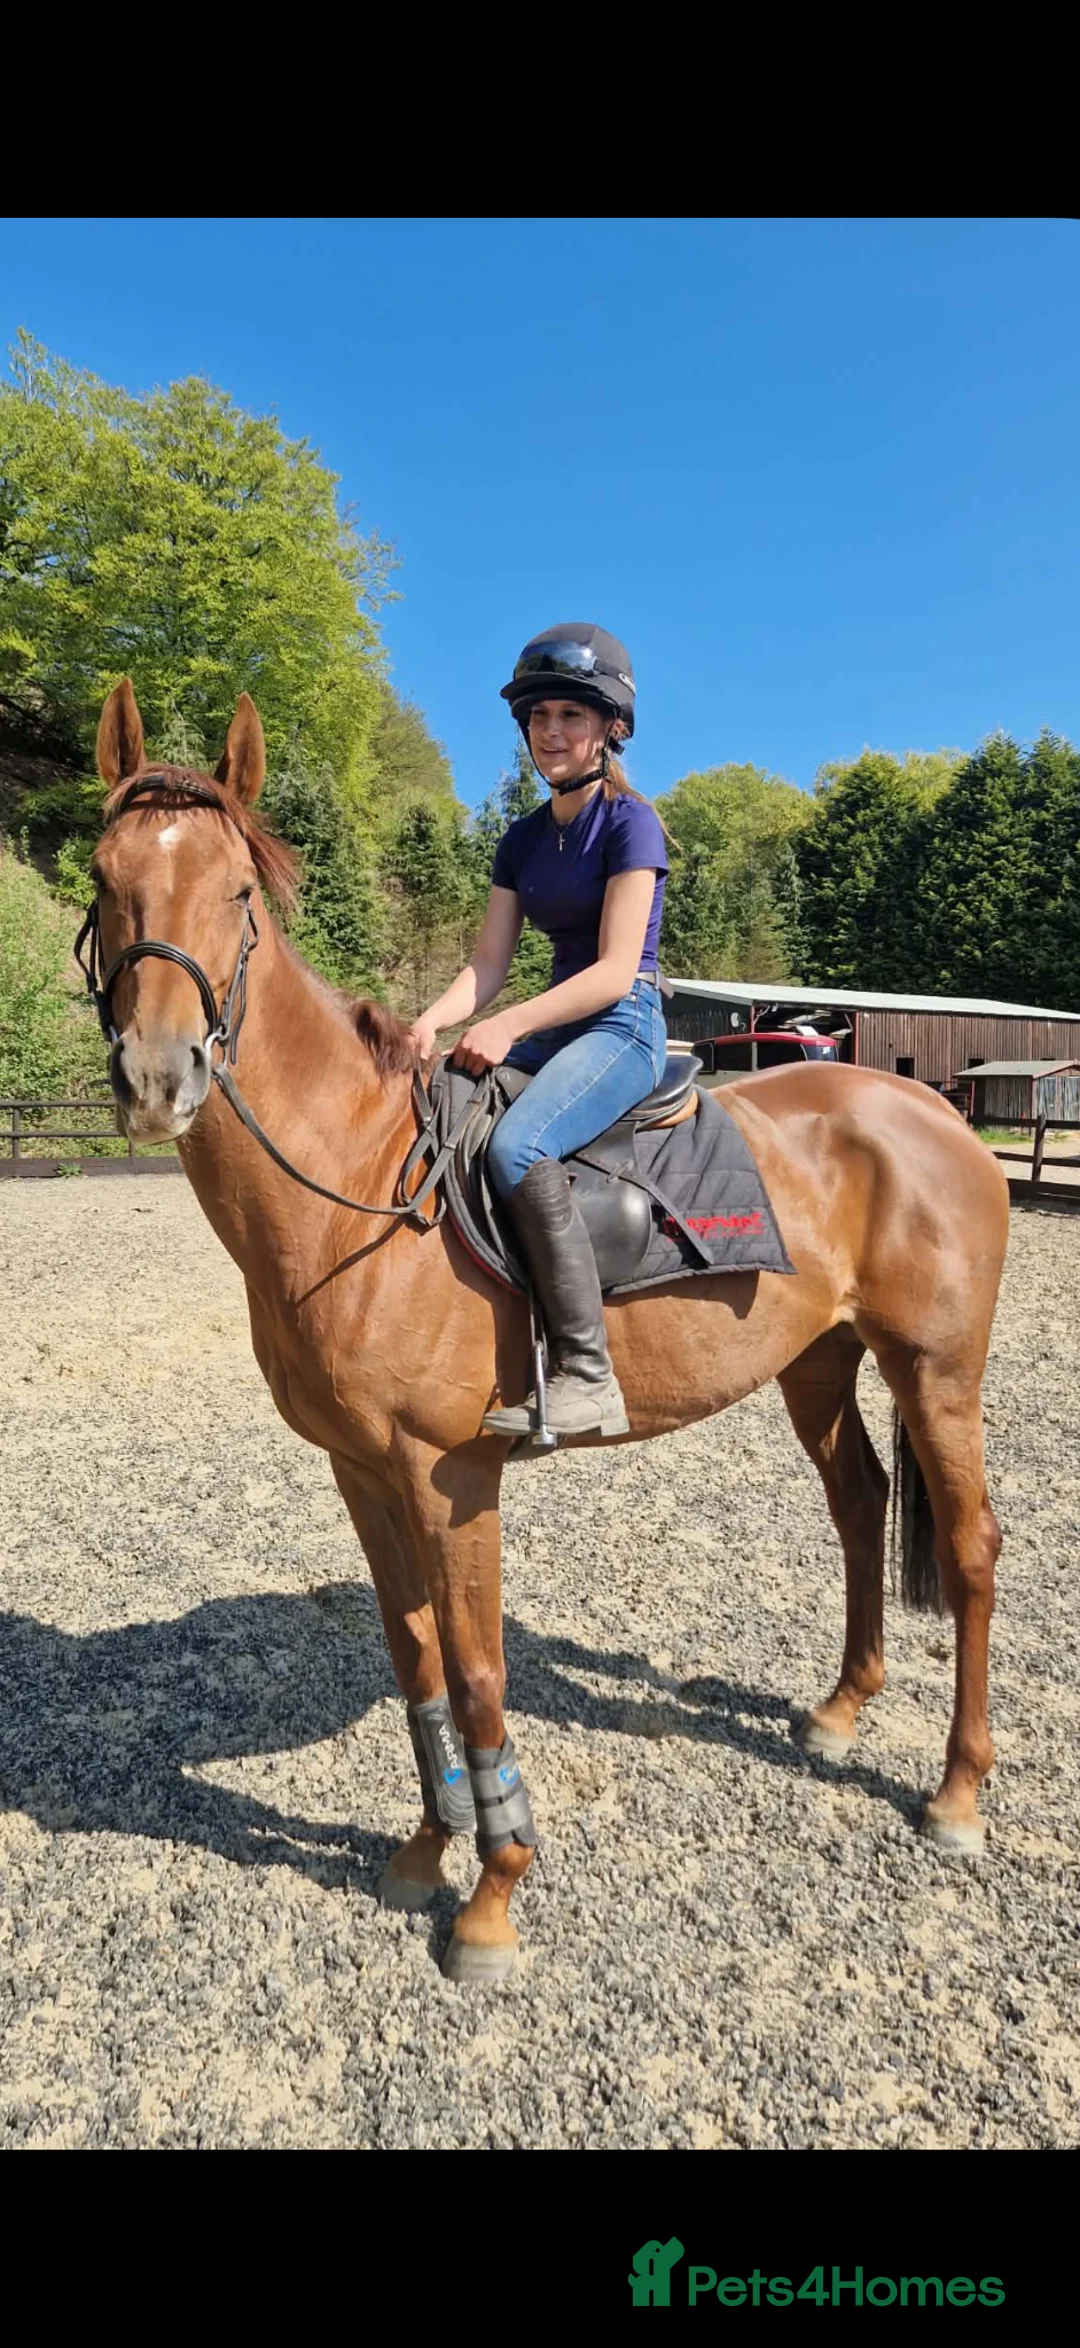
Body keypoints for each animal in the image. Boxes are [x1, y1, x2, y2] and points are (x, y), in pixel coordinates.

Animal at [80, 680, 1010, 1982]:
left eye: (240, 892)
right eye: (106, 875)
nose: (159, 1076)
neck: (357, 1182)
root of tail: (927, 1105)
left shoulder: (451, 1474)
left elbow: (475, 1670)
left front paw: (494, 1893)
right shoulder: (363, 1472)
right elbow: (414, 1657)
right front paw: (428, 1849)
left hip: (937, 1368)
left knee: (970, 1551)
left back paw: (959, 1794)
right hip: (819, 1363)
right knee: (860, 1504)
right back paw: (837, 1712)